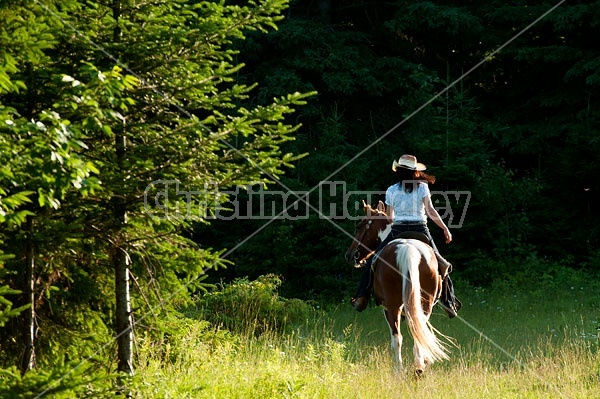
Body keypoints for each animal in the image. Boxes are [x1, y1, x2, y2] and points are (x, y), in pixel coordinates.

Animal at [344, 200, 448, 376]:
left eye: (359, 226)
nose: (350, 255)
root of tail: (409, 250)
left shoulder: (387, 308)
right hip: (425, 304)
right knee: (418, 332)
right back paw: (419, 368)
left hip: (392, 307)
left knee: (397, 338)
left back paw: (399, 371)